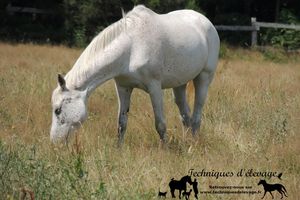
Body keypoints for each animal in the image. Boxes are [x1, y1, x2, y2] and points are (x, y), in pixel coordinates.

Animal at [50, 4, 219, 145]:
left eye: (58, 110)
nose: (54, 142)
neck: (131, 47)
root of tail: (205, 21)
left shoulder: (154, 87)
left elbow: (160, 124)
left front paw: (165, 149)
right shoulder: (123, 87)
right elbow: (121, 123)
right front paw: (118, 149)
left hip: (204, 77)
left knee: (196, 116)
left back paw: (194, 143)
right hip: (179, 84)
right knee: (185, 116)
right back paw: (188, 142)